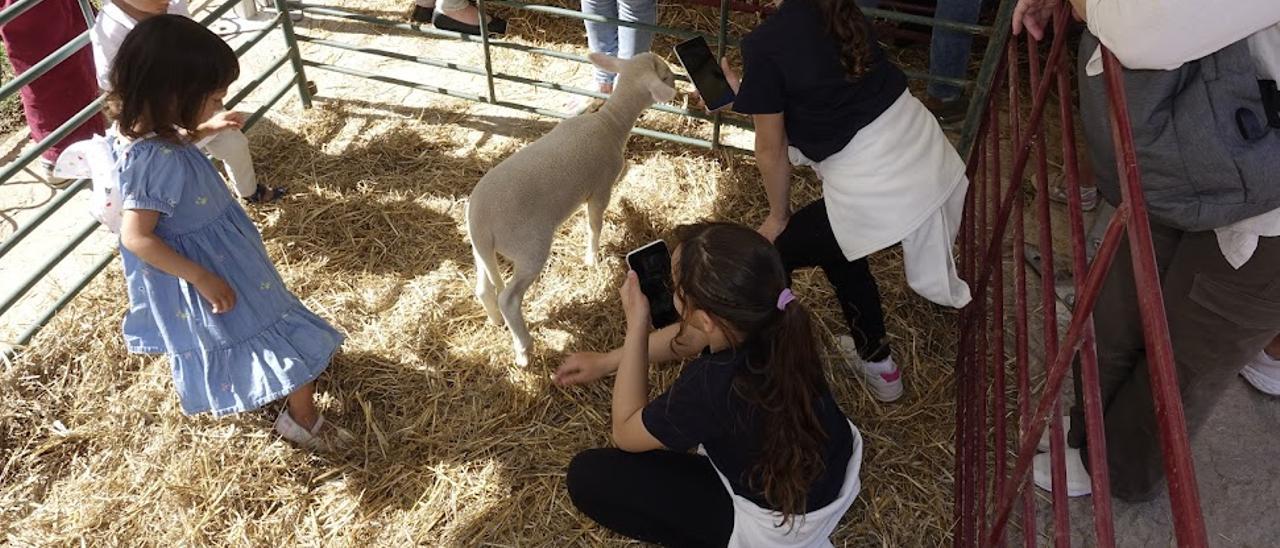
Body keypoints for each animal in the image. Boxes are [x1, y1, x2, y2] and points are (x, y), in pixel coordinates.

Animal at [463, 51, 680, 366]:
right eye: (665, 74)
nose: (676, 81)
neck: (610, 121)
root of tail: (480, 222)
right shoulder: (600, 188)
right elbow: (595, 225)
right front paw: (592, 258)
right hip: (530, 247)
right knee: (509, 298)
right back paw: (524, 348)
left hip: (480, 251)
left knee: (484, 287)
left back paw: (496, 321)